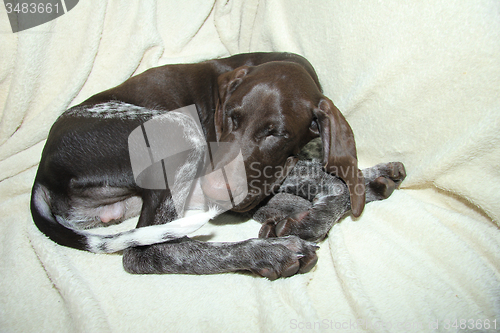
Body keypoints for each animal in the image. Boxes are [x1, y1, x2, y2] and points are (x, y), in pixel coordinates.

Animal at [30, 53, 402, 278]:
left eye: (276, 133)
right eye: (231, 117)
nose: (213, 189)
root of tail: (42, 174)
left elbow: (333, 174)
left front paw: (369, 179)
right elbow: (332, 183)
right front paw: (311, 219)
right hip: (181, 131)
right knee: (148, 252)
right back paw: (269, 251)